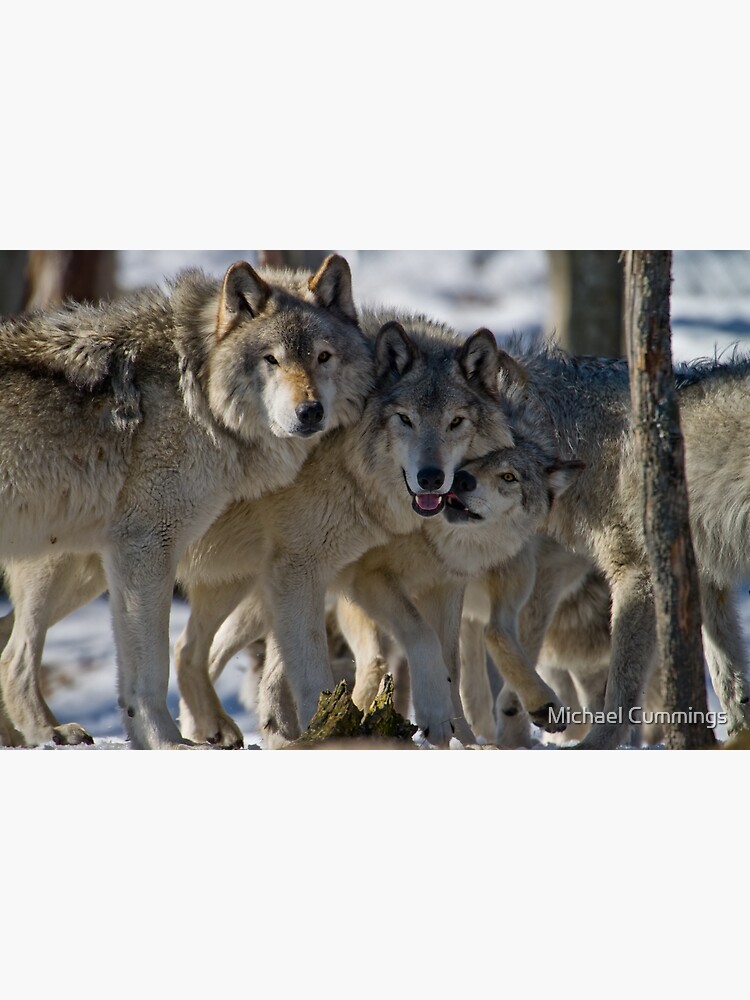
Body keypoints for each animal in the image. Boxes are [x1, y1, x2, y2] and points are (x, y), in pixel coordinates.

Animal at [0, 254, 374, 748]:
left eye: (323, 357)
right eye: (272, 360)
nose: (310, 412)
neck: (197, 393)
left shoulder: (137, 553)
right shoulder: (146, 546)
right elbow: (150, 670)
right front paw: (165, 741)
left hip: (77, 571)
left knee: (10, 651)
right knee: (17, 656)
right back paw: (49, 730)